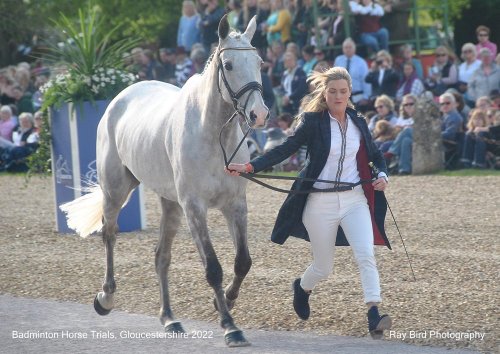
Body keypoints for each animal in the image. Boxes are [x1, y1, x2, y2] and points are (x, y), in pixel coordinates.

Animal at [61, 15, 272, 348]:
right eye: (228, 65)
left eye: (259, 62)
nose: (259, 114)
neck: (213, 135)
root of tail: (122, 96)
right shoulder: (194, 208)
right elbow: (213, 268)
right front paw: (230, 326)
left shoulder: (235, 205)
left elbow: (242, 262)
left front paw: (225, 302)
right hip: (116, 190)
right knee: (109, 234)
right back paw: (105, 298)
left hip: (170, 204)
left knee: (162, 257)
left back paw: (170, 318)